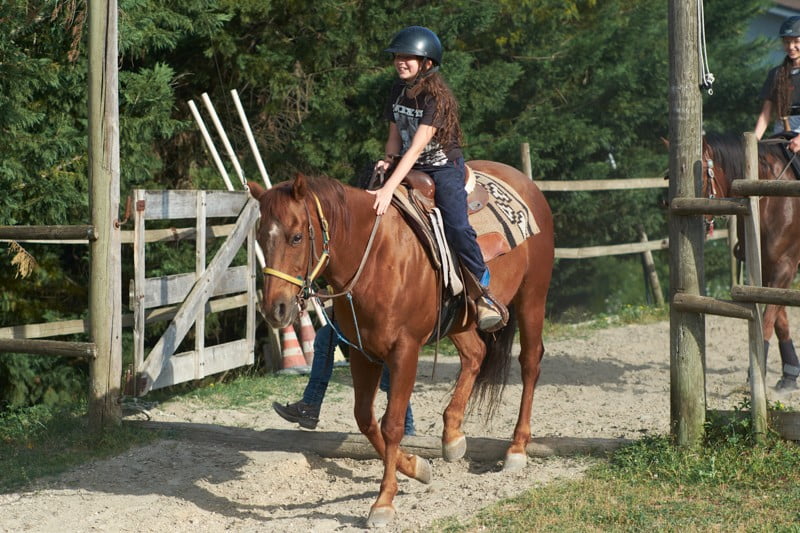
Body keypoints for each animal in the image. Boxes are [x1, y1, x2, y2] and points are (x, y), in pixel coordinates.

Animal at [249, 160, 554, 527]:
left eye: (296, 236)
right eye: (260, 238)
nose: (275, 309)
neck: (375, 257)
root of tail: (524, 181)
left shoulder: (405, 350)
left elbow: (391, 424)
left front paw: (383, 502)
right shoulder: (362, 353)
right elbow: (365, 420)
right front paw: (416, 467)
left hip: (532, 296)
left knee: (530, 364)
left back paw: (517, 449)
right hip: (460, 320)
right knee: (475, 355)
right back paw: (452, 436)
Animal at [702, 132, 800, 389]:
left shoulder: (786, 266)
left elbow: (767, 318)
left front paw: (757, 370)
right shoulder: (767, 268)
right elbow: (778, 318)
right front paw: (790, 372)